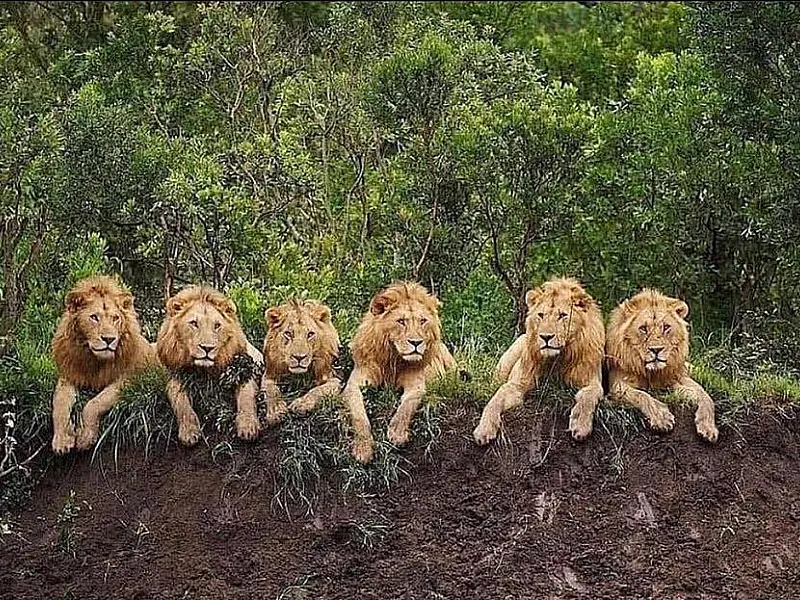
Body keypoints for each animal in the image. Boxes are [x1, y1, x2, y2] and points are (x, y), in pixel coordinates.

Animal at [51, 276, 156, 454]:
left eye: (115, 318)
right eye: (94, 317)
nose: (109, 339)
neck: (93, 360)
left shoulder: (129, 380)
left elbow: (94, 404)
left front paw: (85, 437)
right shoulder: (69, 376)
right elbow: (60, 404)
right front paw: (62, 440)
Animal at [156, 285, 264, 446]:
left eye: (217, 325)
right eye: (194, 323)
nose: (207, 348)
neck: (204, 370)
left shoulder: (246, 370)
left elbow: (246, 396)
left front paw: (248, 426)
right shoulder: (175, 377)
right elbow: (181, 402)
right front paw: (189, 431)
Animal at [342, 281, 456, 463]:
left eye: (423, 321)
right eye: (401, 321)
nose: (416, 342)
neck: (393, 359)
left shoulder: (417, 385)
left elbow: (406, 407)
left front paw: (397, 434)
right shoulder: (355, 382)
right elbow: (359, 415)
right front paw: (363, 448)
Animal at [473, 278, 605, 445]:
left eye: (562, 315)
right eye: (541, 315)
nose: (546, 337)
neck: (557, 358)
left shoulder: (592, 381)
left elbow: (588, 397)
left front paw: (580, 425)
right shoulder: (517, 384)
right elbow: (496, 398)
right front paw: (483, 429)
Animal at [606, 289, 718, 442]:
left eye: (666, 327)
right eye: (643, 328)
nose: (656, 350)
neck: (653, 372)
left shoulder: (677, 376)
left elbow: (705, 396)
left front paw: (708, 427)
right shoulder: (617, 384)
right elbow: (641, 395)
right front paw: (661, 418)